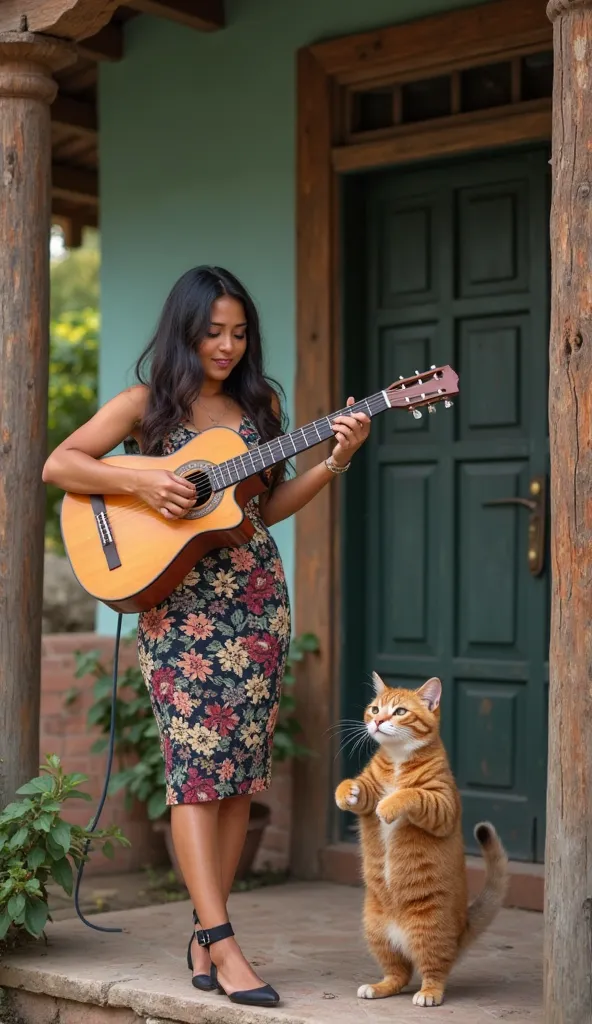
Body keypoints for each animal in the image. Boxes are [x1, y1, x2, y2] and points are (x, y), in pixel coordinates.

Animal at [333, 671, 510, 1007]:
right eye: (375, 709)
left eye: (400, 712)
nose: (378, 721)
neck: (398, 758)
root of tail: (461, 928)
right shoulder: (369, 791)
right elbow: (358, 788)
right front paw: (345, 792)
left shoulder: (441, 805)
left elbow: (411, 794)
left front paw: (390, 805)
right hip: (376, 931)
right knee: (398, 974)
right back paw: (377, 987)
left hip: (429, 931)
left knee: (434, 970)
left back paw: (428, 994)